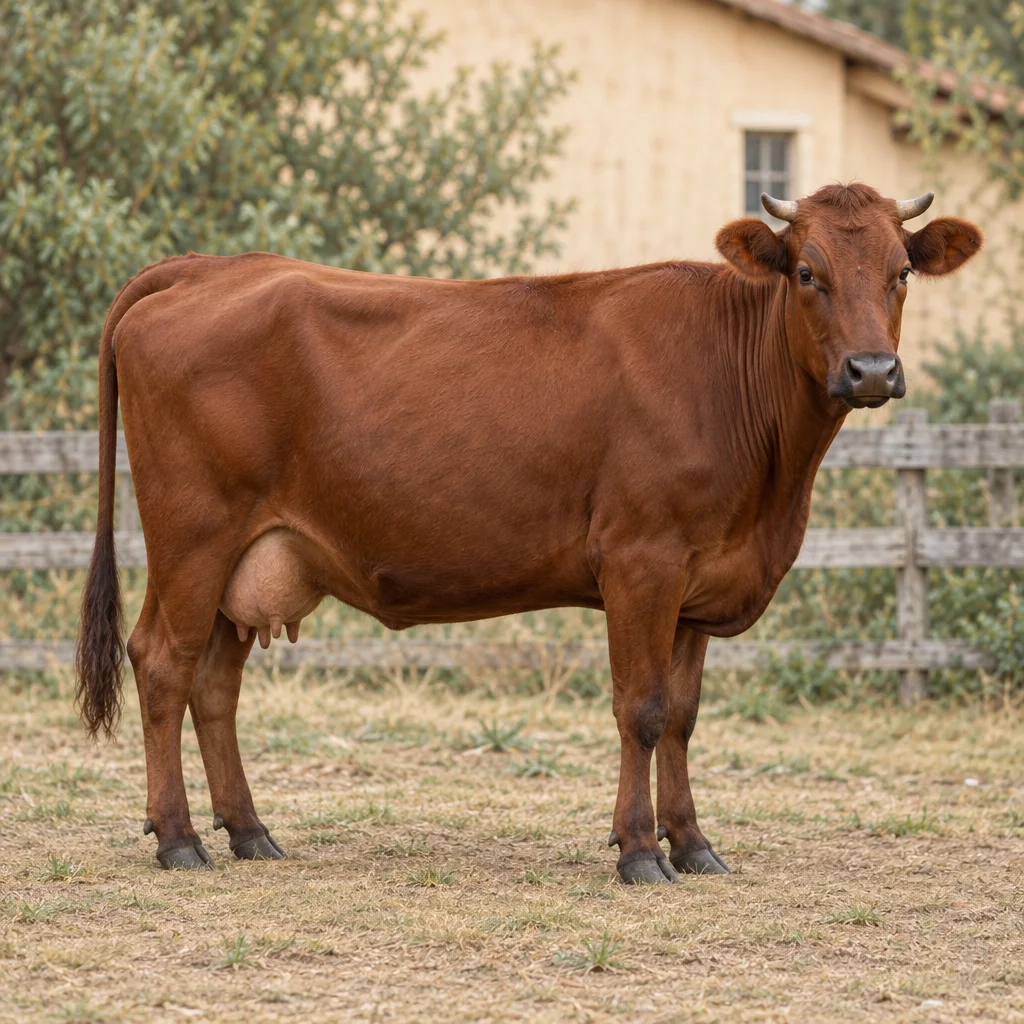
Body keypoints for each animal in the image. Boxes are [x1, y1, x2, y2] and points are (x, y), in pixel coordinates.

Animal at [76, 183, 981, 881]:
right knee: (163, 664)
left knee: (214, 685)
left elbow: (684, 716)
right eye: (806, 272)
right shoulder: (642, 562)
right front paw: (639, 851)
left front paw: (693, 845)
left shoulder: (699, 582)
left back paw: (250, 832)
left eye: (901, 272)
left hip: (250, 559)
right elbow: (641, 707)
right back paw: (180, 839)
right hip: (193, 537)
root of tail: (210, 267)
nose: (871, 371)